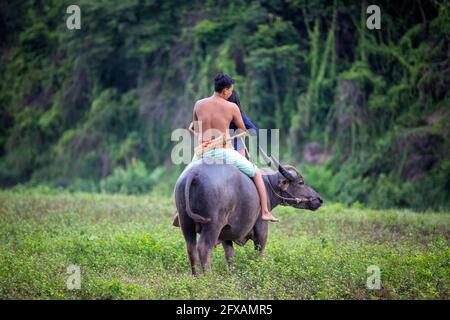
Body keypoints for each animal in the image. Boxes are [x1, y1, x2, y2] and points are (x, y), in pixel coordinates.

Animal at [174, 154, 322, 274]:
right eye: (301, 182)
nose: (319, 200)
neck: (268, 186)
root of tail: (194, 173)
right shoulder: (261, 228)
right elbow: (259, 253)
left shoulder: (226, 233)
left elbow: (230, 255)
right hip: (213, 224)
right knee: (204, 248)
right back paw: (208, 277)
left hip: (185, 222)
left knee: (191, 249)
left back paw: (196, 276)